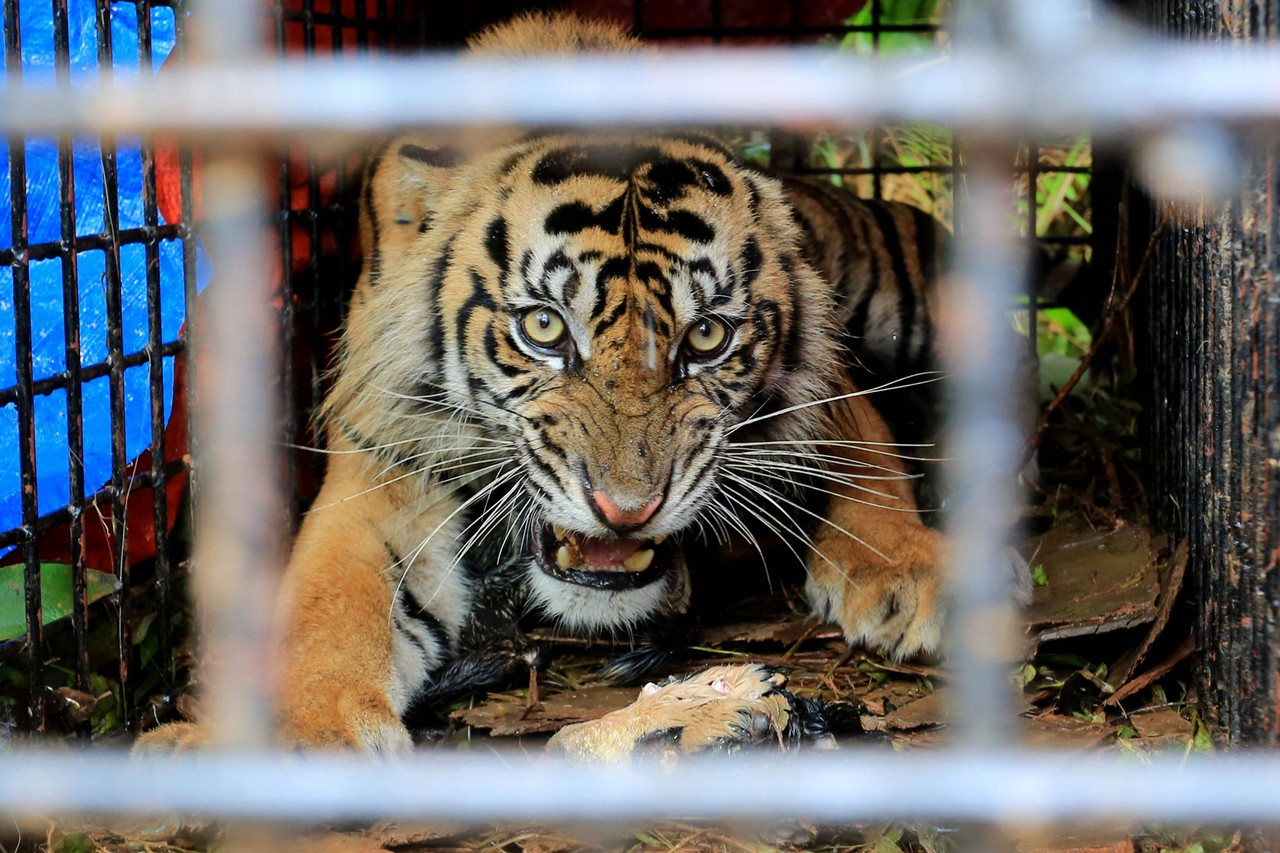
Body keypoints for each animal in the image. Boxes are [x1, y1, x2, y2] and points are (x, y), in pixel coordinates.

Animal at [140, 13, 1029, 753]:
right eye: (543, 327)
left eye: (707, 336)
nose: (625, 509)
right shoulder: (383, 464)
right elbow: (327, 611)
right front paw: (294, 740)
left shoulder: (826, 378)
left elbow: (865, 454)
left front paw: (915, 570)